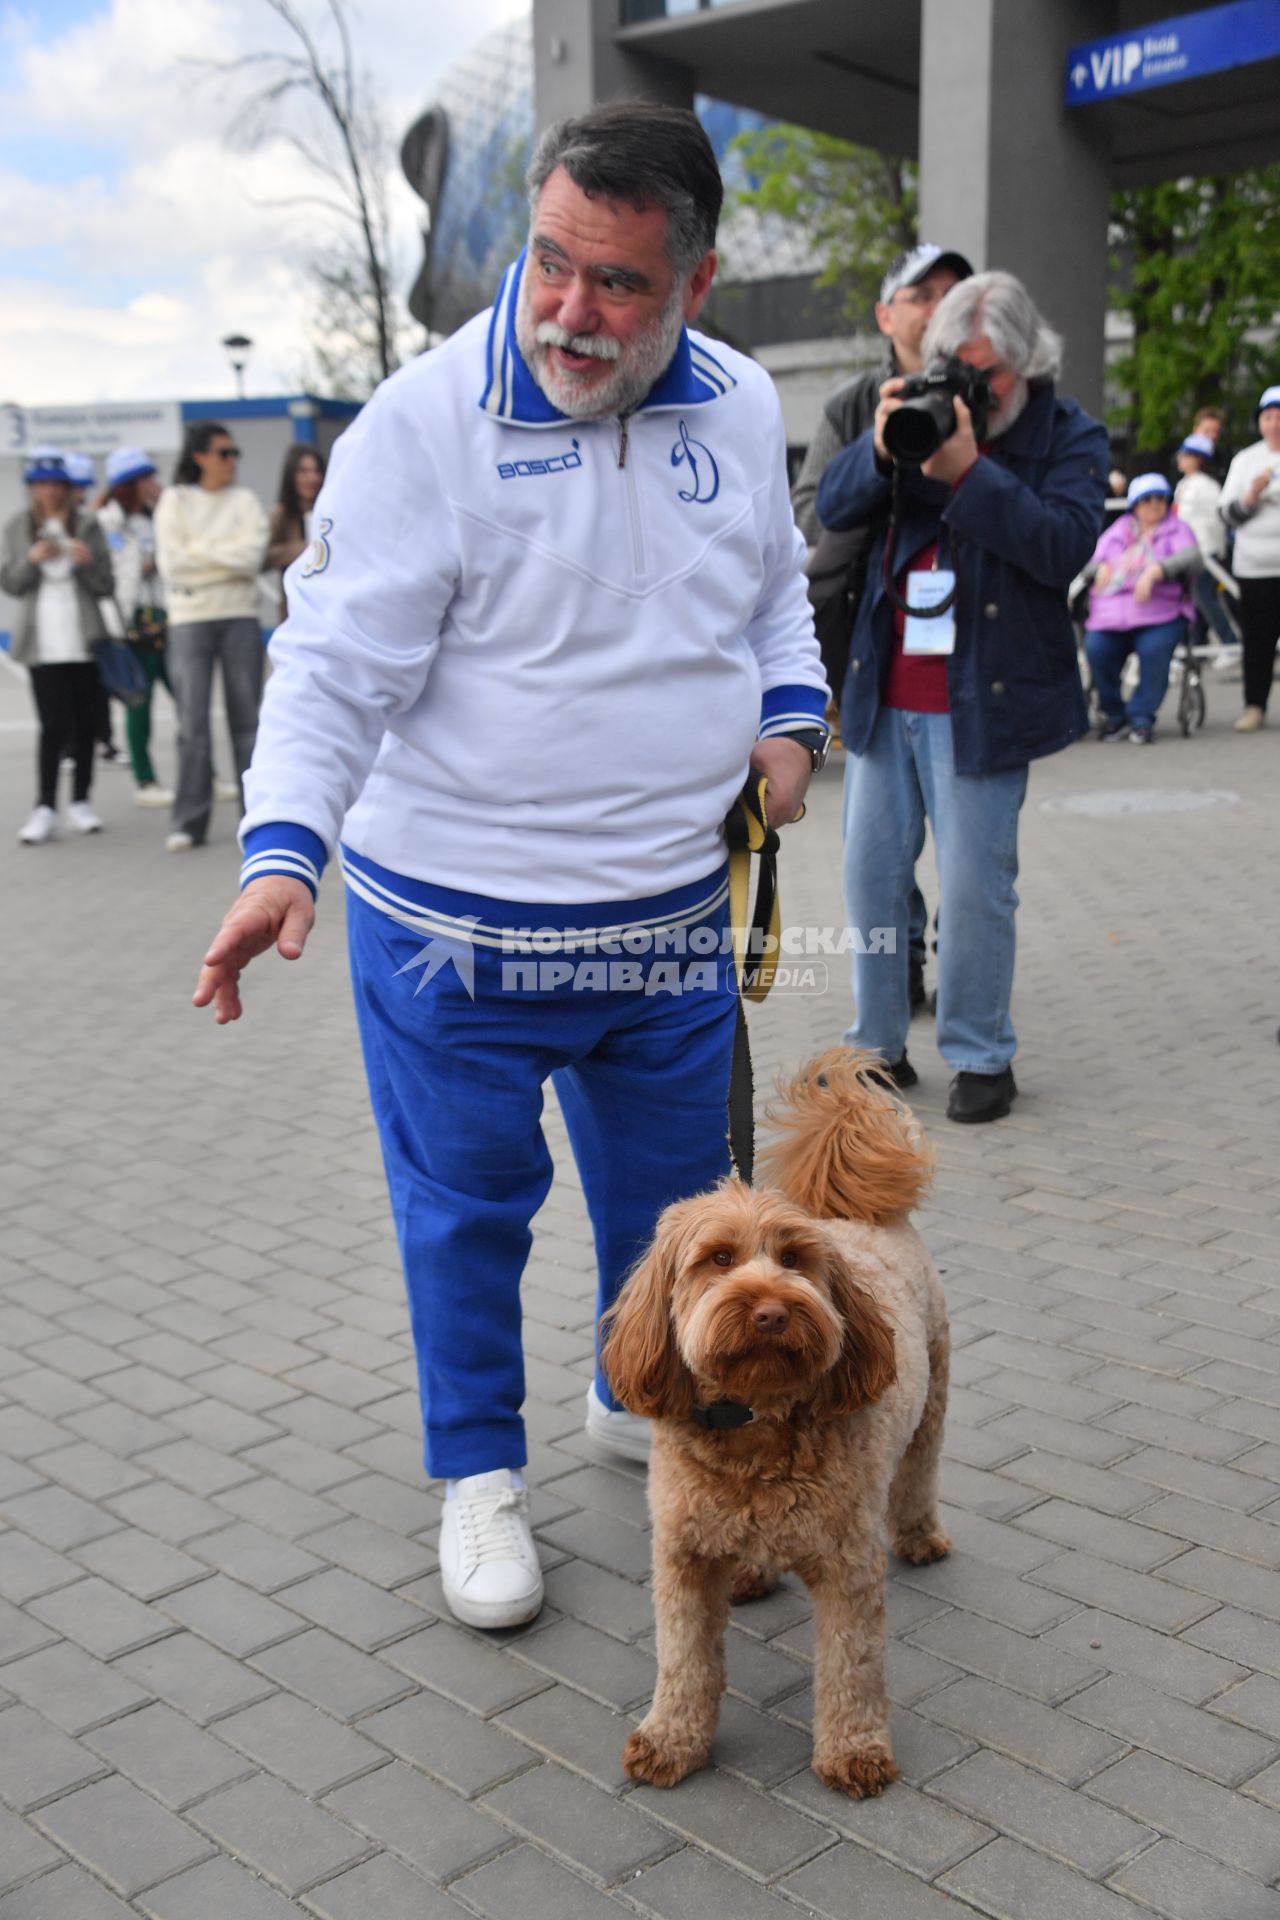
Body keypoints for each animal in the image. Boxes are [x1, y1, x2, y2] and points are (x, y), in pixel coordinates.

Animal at [602, 1052, 951, 1797]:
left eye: (793, 1259)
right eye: (718, 1258)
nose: (770, 1311)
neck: (756, 1417)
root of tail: (862, 1217)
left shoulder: (849, 1564)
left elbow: (851, 1665)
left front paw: (853, 1750)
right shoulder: (683, 1556)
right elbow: (684, 1658)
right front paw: (671, 1738)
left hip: (931, 1400)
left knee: (918, 1476)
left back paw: (920, 1536)